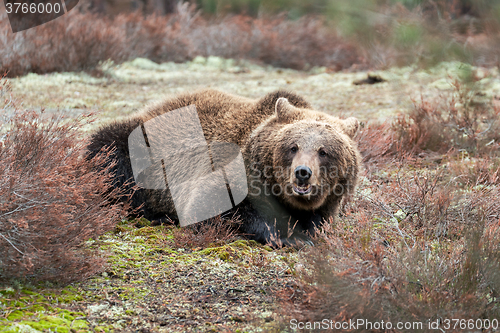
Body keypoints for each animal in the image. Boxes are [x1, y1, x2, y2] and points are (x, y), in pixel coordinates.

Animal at [86, 89, 360, 245]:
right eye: (293, 146)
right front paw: (288, 237)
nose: (302, 173)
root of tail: (151, 108)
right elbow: (212, 207)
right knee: (110, 158)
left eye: (323, 151)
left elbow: (319, 221)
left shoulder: (325, 204)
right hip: (138, 147)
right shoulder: (225, 168)